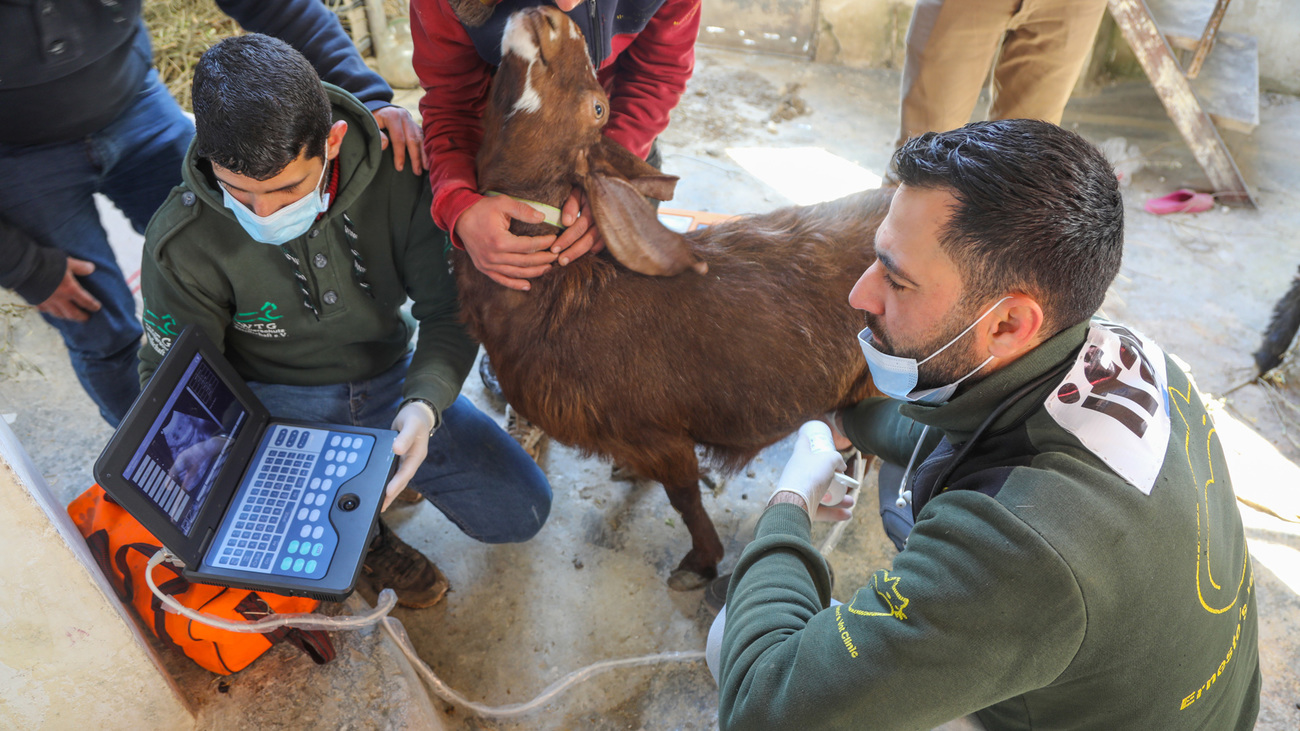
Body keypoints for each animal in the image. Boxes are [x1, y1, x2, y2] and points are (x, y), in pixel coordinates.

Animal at [457, 4, 894, 585]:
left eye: (600, 107)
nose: (551, 17)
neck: (559, 302)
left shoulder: (656, 432)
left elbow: (683, 496)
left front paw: (701, 561)